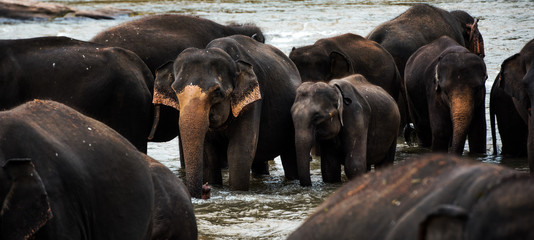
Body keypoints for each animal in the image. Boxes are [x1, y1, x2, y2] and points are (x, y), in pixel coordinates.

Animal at [152, 34, 302, 199]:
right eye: (175, 90)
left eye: (217, 92)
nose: (205, 189)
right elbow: (209, 155)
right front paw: (214, 185)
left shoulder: (254, 100)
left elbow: (239, 152)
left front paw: (236, 192)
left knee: (290, 157)